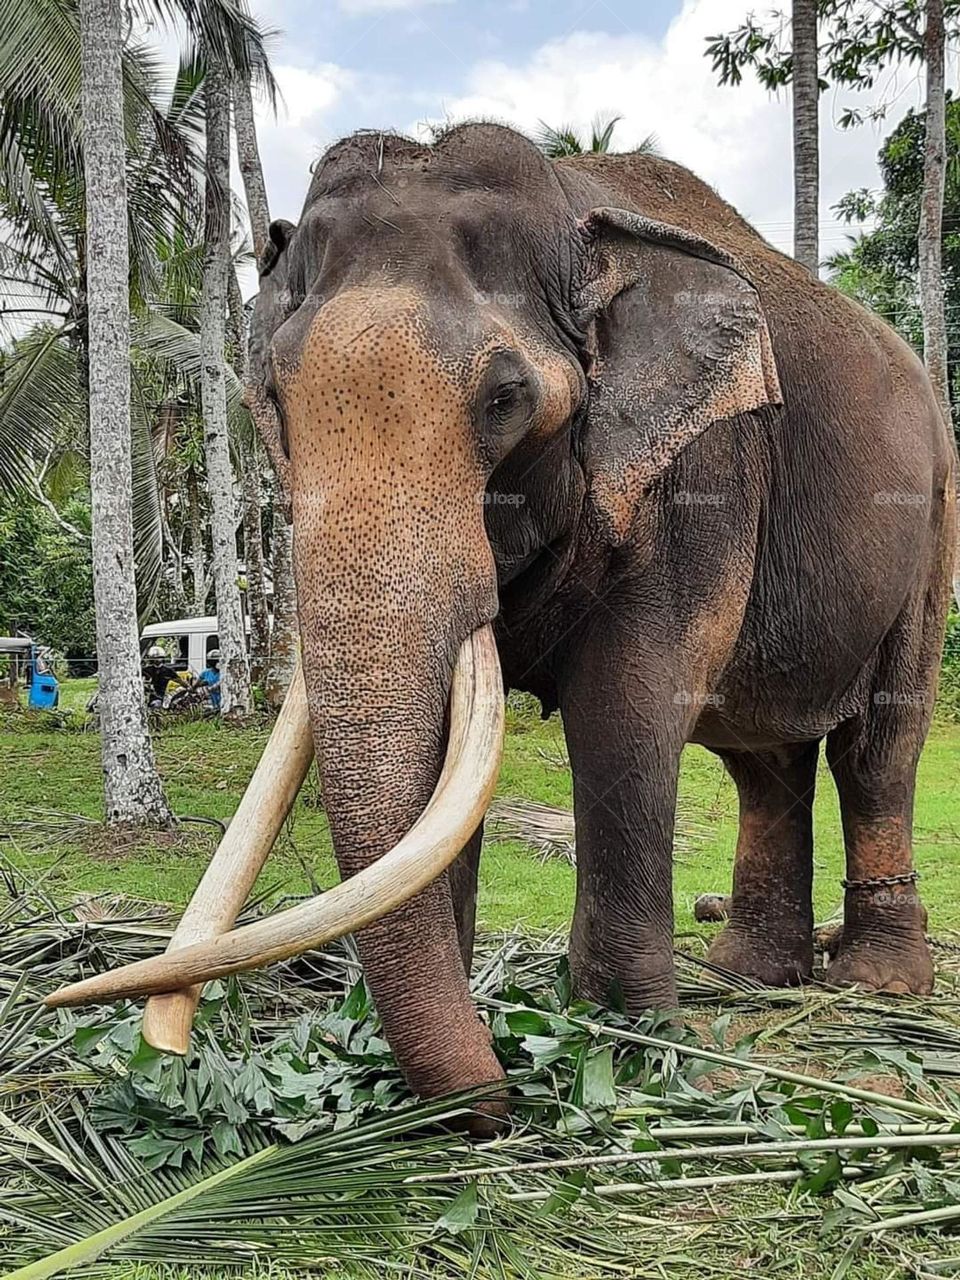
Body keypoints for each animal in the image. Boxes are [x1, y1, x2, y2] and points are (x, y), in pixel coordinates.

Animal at [50, 123, 957, 1133]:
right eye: (271, 402)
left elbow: (626, 712)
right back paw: (752, 974)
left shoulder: (703, 471)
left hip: (930, 523)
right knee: (765, 763)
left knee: (878, 747)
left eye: (504, 401)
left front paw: (625, 1044)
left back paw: (878, 984)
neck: (575, 212)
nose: (498, 1101)